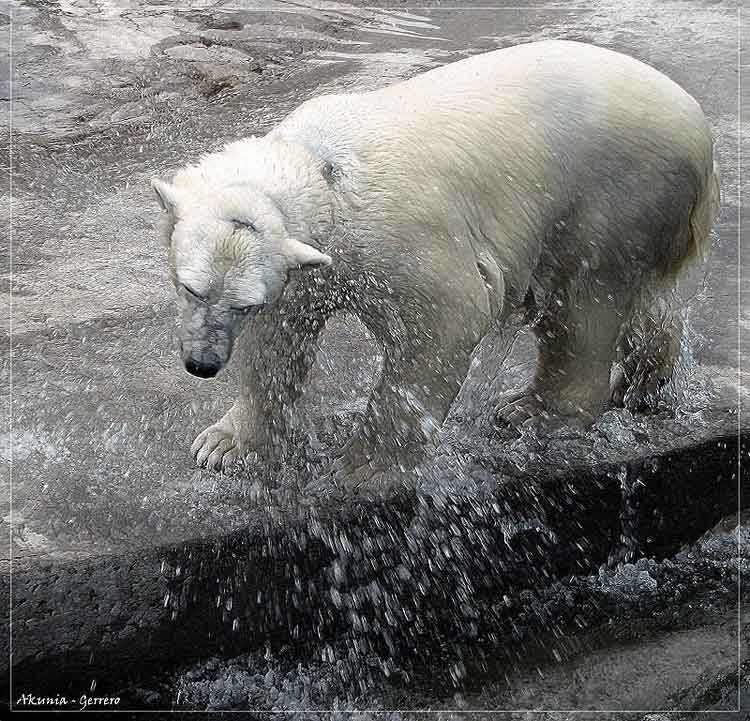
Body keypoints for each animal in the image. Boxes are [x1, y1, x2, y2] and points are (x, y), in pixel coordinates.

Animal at [150, 39, 720, 491]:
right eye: (190, 287)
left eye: (237, 303)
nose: (202, 364)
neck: (324, 170)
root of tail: (700, 131)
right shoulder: (303, 266)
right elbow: (279, 339)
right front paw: (223, 446)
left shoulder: (396, 235)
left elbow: (445, 317)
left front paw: (365, 466)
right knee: (634, 297)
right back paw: (643, 382)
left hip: (615, 190)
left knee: (580, 300)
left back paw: (531, 410)